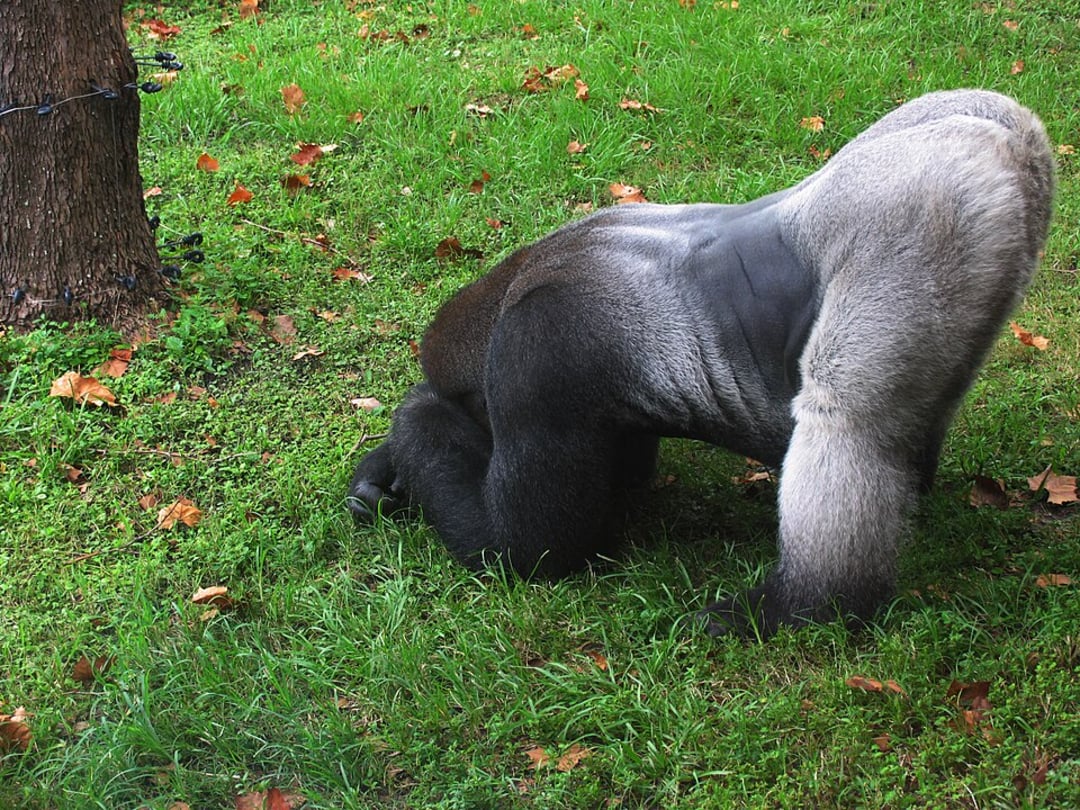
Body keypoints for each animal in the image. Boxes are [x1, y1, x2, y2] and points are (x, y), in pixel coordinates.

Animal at [347, 89, 1055, 637]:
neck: (515, 283)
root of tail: (1012, 149)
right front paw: (381, 471)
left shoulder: (536, 352)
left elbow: (525, 550)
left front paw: (416, 422)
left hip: (928, 211)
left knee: (849, 422)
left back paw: (796, 607)